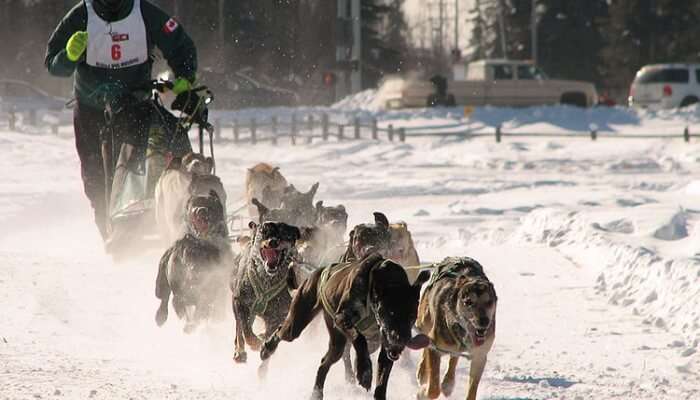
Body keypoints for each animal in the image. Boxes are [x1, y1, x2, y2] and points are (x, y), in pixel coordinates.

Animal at [154, 191, 234, 332]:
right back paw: (161, 315)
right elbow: (179, 304)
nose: (200, 210)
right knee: (164, 298)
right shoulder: (180, 293)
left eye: (210, 205)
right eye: (194, 204)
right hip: (162, 282)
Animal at [416, 256, 498, 400]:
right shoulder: (435, 347)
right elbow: (433, 389)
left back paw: (448, 383)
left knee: (454, 356)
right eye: (468, 302)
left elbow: (472, 389)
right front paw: (423, 392)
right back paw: (423, 372)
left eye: (489, 302)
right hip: (425, 323)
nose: (484, 322)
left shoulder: (479, 356)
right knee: (425, 344)